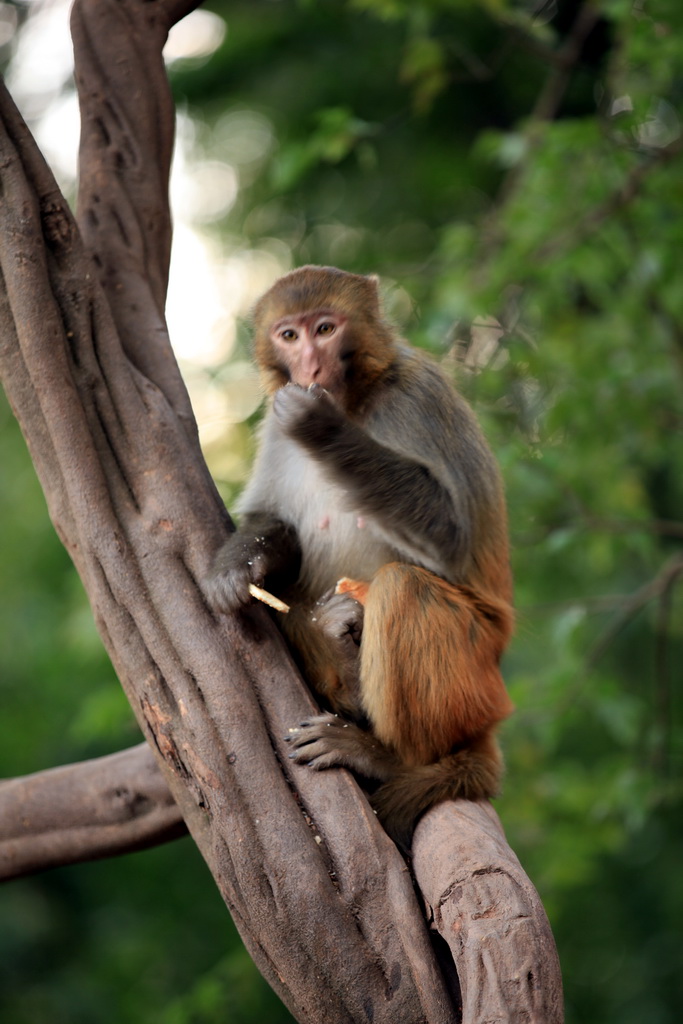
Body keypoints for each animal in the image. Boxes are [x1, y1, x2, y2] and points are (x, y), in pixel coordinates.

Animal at [205, 266, 516, 847]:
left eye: (325, 329)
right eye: (289, 334)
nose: (310, 365)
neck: (354, 398)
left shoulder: (421, 397)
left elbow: (452, 534)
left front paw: (320, 426)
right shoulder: (273, 429)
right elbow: (275, 525)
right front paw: (237, 564)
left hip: (479, 672)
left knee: (404, 587)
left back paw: (387, 756)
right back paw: (345, 673)